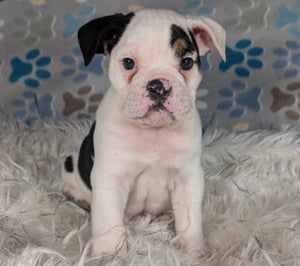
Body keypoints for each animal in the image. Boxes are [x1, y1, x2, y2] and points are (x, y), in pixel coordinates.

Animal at [61, 8, 225, 256]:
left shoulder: (187, 177)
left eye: (187, 62)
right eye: (129, 63)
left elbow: (189, 216)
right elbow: (108, 219)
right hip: (69, 166)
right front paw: (109, 252)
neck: (152, 132)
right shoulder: (110, 178)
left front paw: (191, 248)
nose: (159, 86)